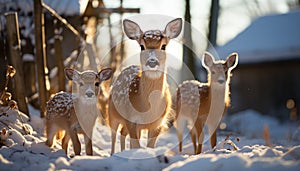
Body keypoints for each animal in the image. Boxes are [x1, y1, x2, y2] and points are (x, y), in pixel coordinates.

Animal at [108, 17, 183, 154]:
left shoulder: (158, 123)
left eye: (163, 46)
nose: (152, 62)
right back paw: (113, 154)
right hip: (112, 113)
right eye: (142, 46)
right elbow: (136, 145)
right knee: (114, 135)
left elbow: (149, 147)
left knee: (122, 133)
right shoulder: (132, 120)